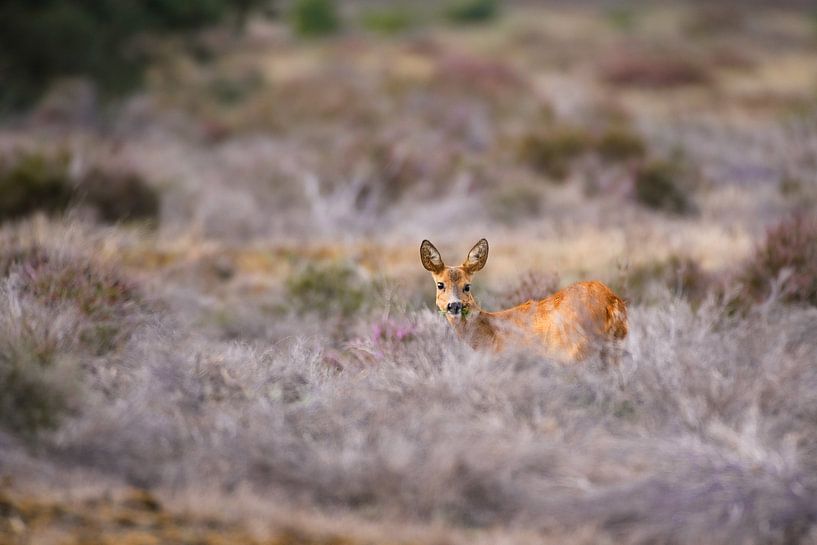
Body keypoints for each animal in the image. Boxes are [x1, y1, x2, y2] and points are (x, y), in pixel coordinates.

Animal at [420, 239, 628, 363]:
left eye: (467, 286)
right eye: (440, 284)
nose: (454, 305)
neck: (489, 334)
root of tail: (612, 302)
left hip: (575, 350)